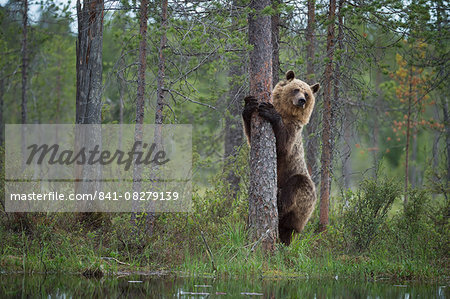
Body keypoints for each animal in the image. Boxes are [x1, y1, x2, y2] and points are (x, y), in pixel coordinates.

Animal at [243, 70, 320, 246]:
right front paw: (249, 105)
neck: (287, 114)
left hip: (304, 197)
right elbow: (250, 136)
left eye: (306, 93)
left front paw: (270, 111)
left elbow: (283, 145)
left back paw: (278, 200)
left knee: (296, 187)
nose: (301, 100)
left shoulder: (294, 131)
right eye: (296, 89)